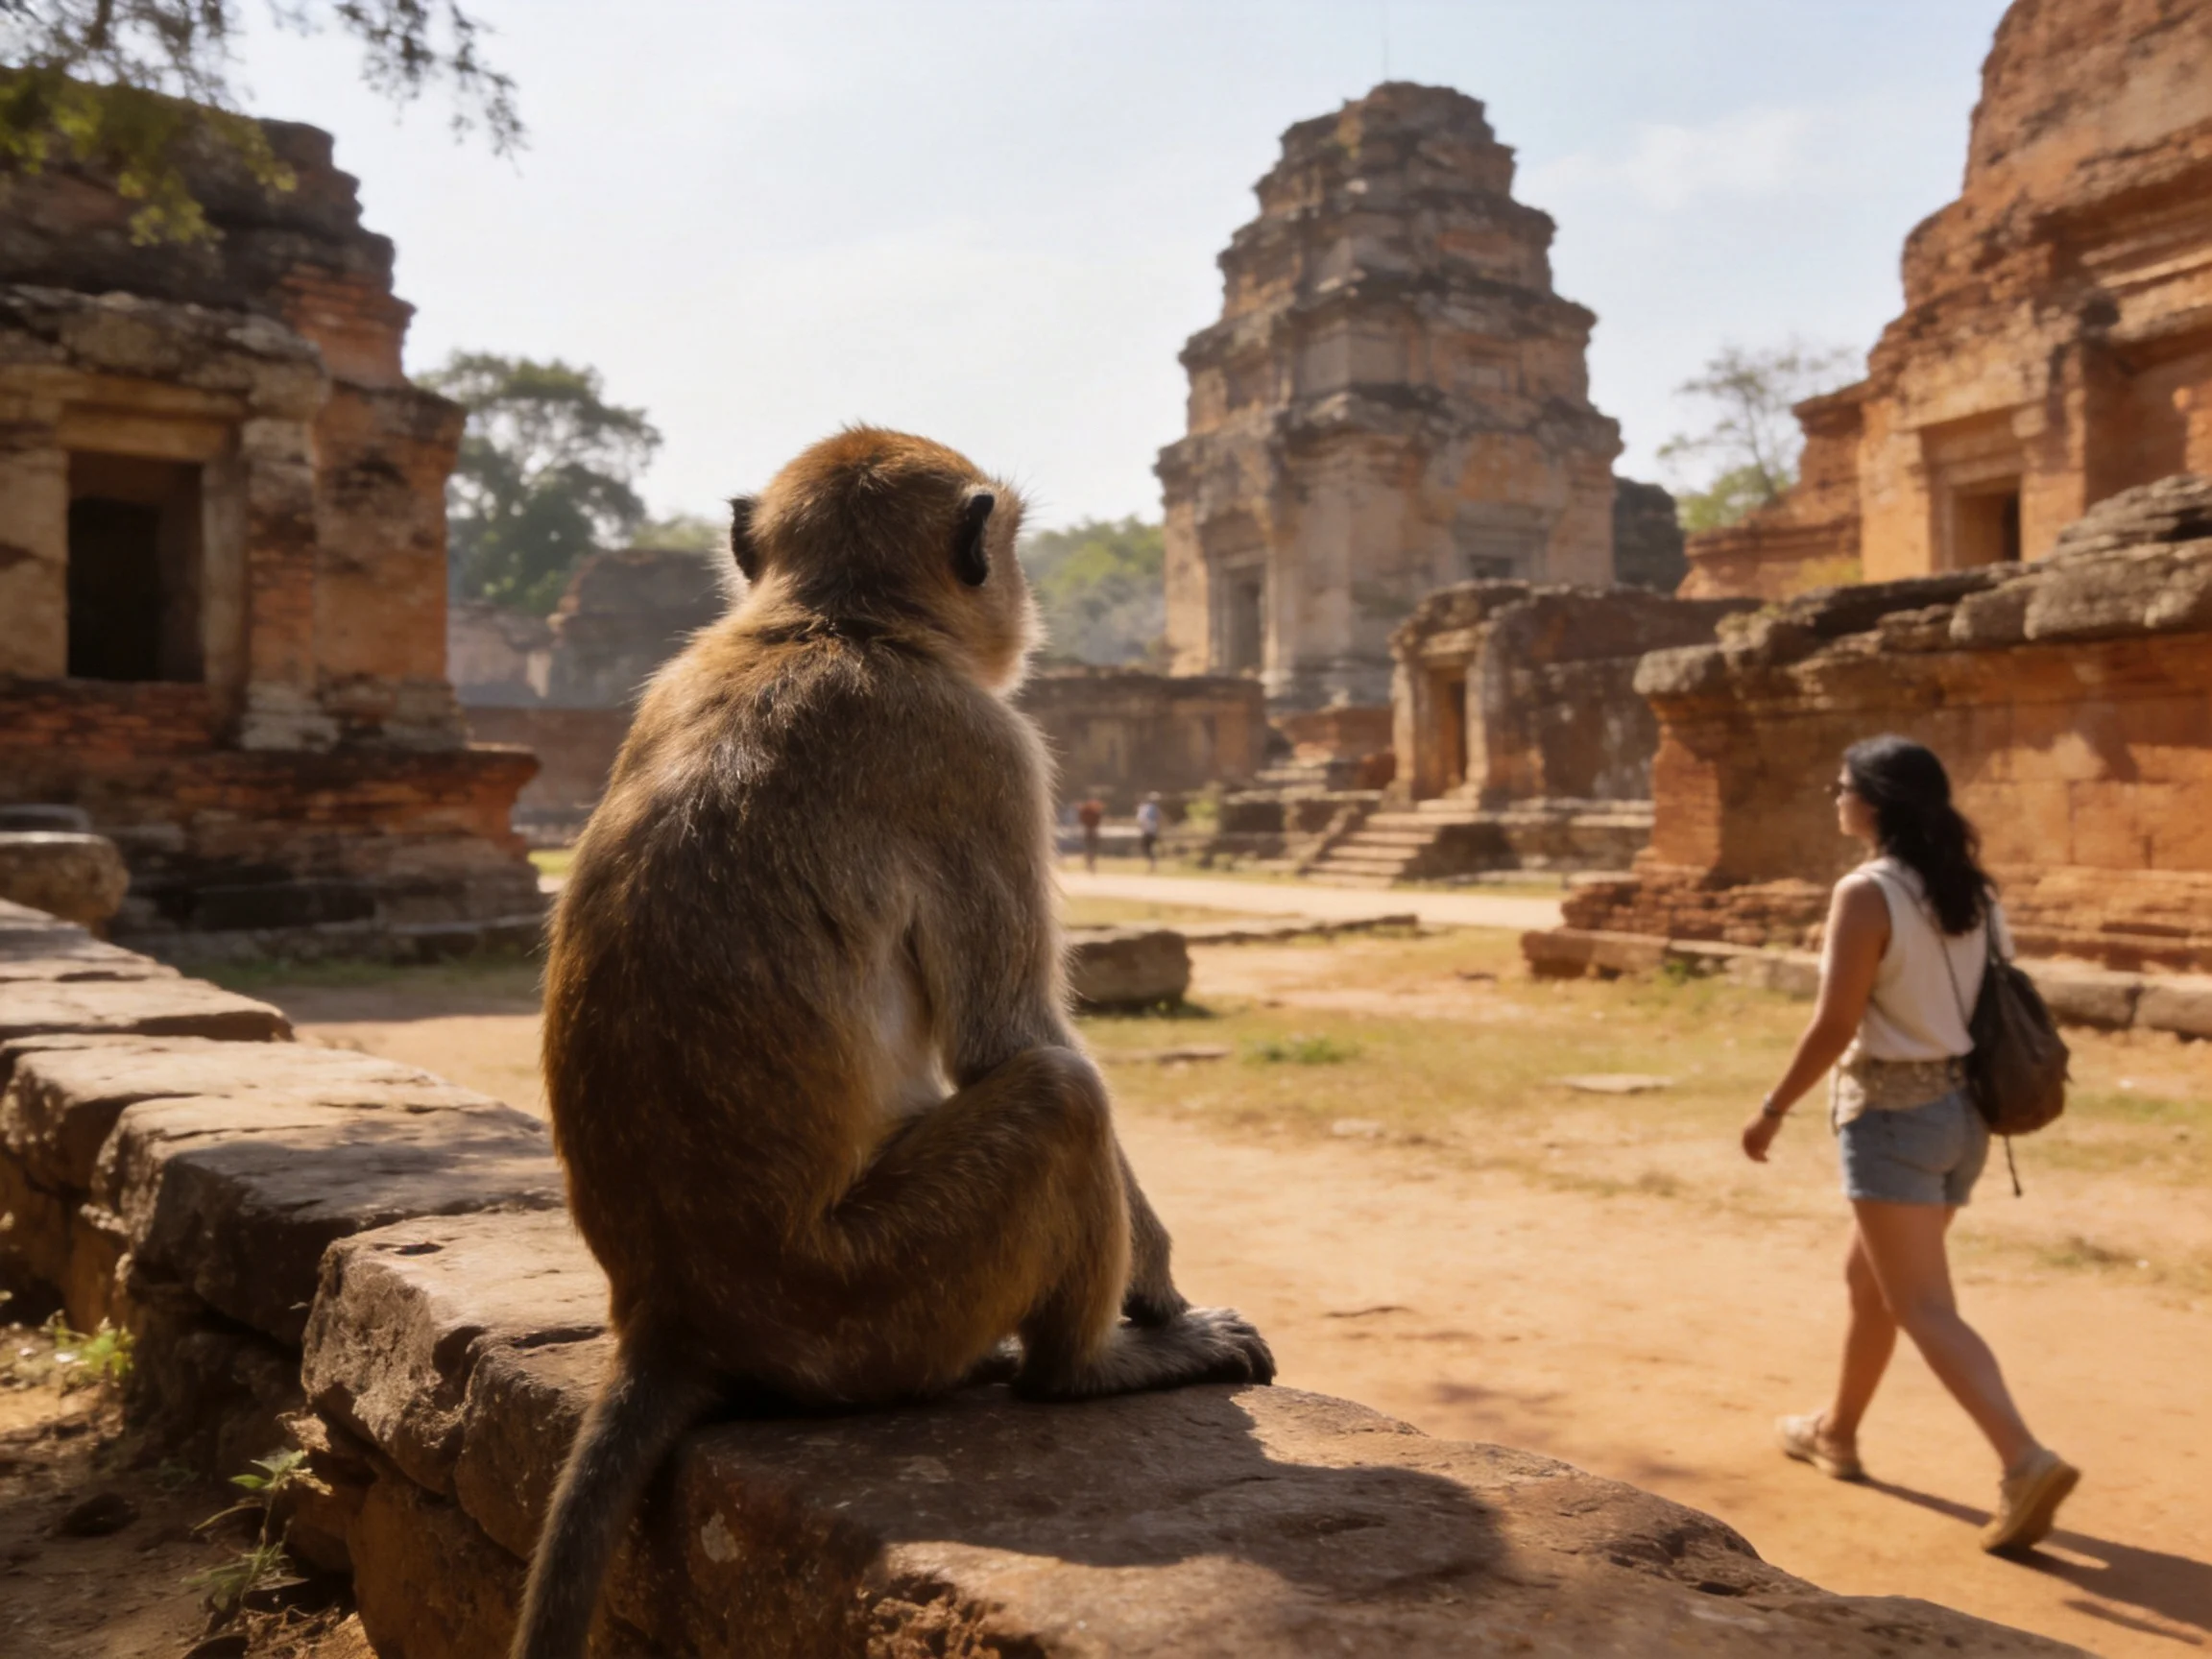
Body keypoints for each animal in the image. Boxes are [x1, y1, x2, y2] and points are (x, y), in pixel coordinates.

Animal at [512, 428, 1275, 1659]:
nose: (1025, 599)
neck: (833, 621)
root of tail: (670, 1316)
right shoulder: (985, 751)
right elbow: (1009, 1034)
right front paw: (1160, 1290)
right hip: (872, 1299)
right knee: (1060, 1097)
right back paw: (1087, 1367)